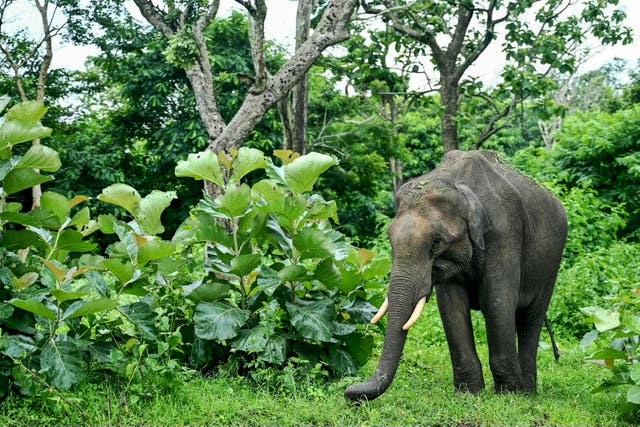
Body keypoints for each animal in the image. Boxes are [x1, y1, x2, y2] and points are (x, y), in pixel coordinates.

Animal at [344, 150, 564, 402]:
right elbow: (451, 306)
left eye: (436, 243)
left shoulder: (504, 233)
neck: (454, 181)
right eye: (390, 239)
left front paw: (509, 395)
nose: (350, 394)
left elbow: (497, 302)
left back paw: (527, 391)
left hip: (551, 265)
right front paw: (469, 393)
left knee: (531, 318)